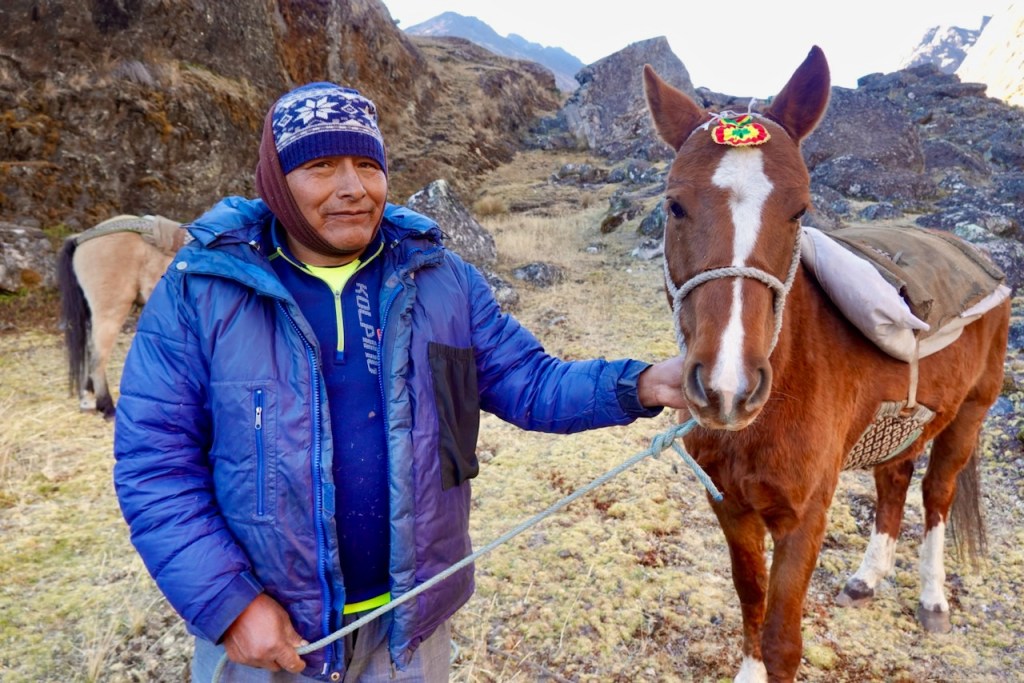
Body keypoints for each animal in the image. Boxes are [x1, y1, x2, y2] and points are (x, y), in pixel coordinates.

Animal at [643, 47, 1011, 682]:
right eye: (674, 204)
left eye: (800, 211)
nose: (727, 389)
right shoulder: (730, 507)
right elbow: (751, 603)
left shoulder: (804, 517)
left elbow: (782, 639)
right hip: (903, 421)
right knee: (894, 481)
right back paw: (868, 577)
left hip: (969, 415)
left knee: (936, 496)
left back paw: (933, 599)